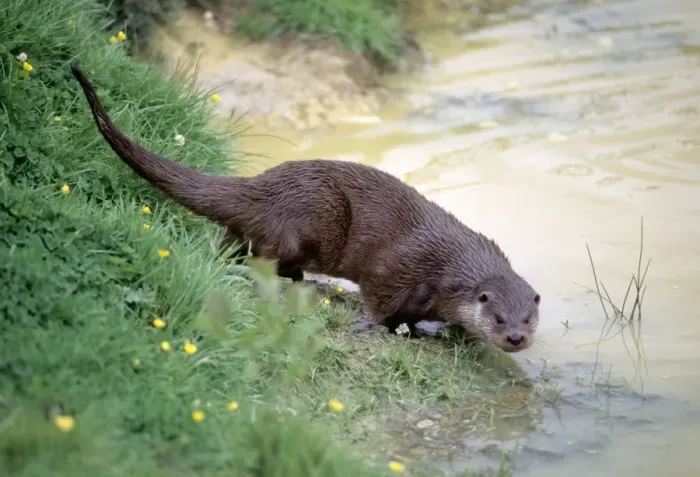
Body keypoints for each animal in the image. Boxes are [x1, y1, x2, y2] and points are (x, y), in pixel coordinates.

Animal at [70, 63, 540, 353]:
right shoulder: (396, 269)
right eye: (499, 318)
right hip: (313, 215)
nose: (516, 338)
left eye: (529, 318)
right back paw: (298, 280)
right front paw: (401, 330)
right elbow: (380, 303)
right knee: (264, 256)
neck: (449, 269)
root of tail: (261, 186)